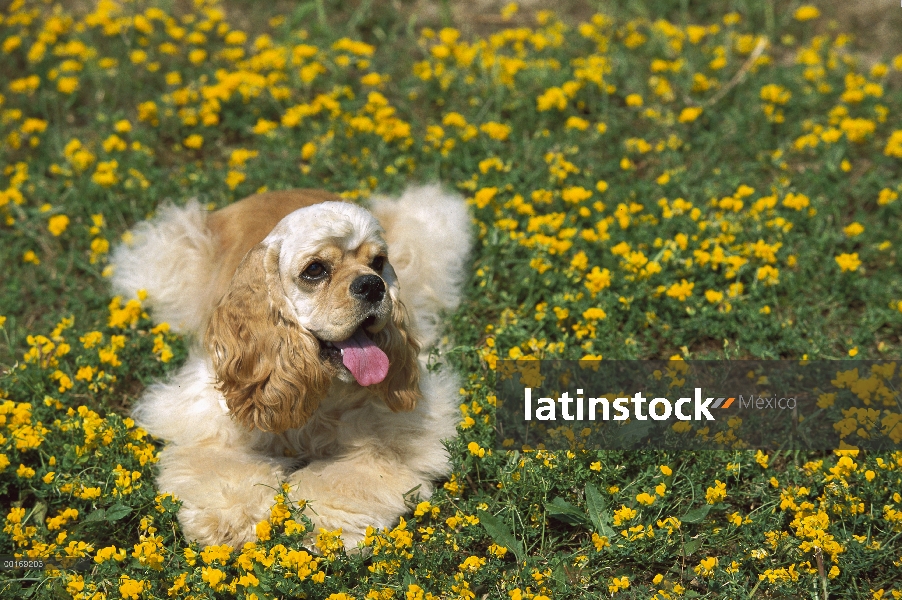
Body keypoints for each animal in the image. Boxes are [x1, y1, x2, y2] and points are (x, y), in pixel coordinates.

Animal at [111, 185, 474, 548]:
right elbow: (220, 466)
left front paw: (324, 523)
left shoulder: (392, 430)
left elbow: (355, 472)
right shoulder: (214, 419)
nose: (373, 285)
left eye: (378, 262)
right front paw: (229, 518)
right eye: (315, 269)